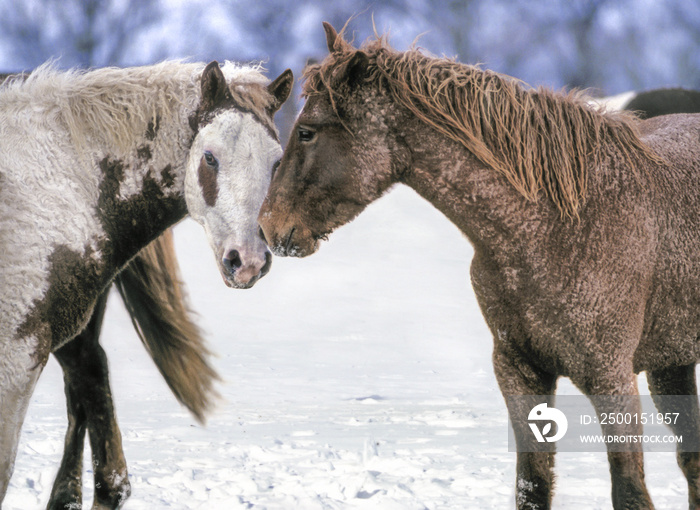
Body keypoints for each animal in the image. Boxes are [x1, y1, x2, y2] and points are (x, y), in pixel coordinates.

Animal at [260, 23, 700, 510]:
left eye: (307, 132)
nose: (268, 226)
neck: (559, 223)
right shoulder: (518, 371)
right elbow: (532, 483)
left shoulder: (611, 377)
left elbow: (629, 490)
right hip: (672, 363)